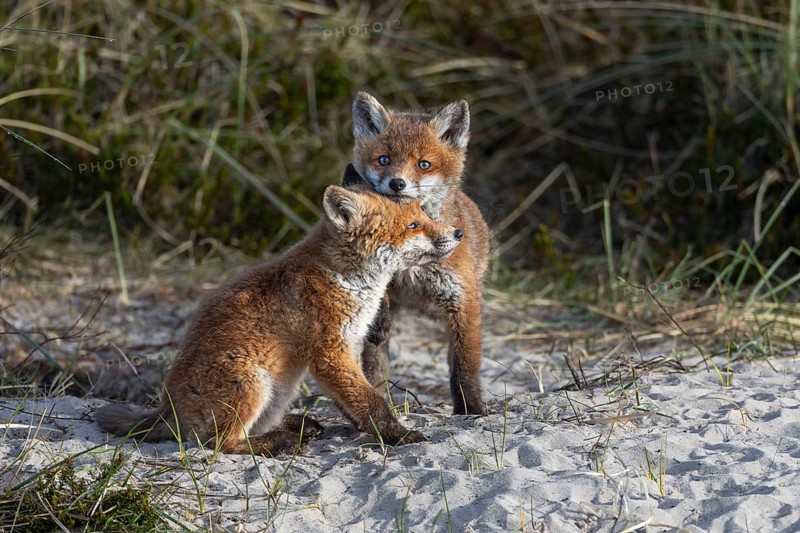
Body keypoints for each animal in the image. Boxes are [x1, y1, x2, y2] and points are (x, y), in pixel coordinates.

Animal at [94, 185, 463, 455]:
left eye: (422, 215)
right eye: (413, 225)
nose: (458, 233)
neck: (348, 280)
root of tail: (166, 409)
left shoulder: (353, 342)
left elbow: (360, 395)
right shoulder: (330, 353)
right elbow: (372, 401)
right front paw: (396, 434)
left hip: (280, 391)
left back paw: (296, 427)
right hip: (251, 383)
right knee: (221, 443)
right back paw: (279, 441)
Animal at [342, 92, 491, 415]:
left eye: (424, 164)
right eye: (384, 160)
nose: (397, 183)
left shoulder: (462, 300)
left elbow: (465, 367)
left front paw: (472, 409)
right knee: (375, 367)